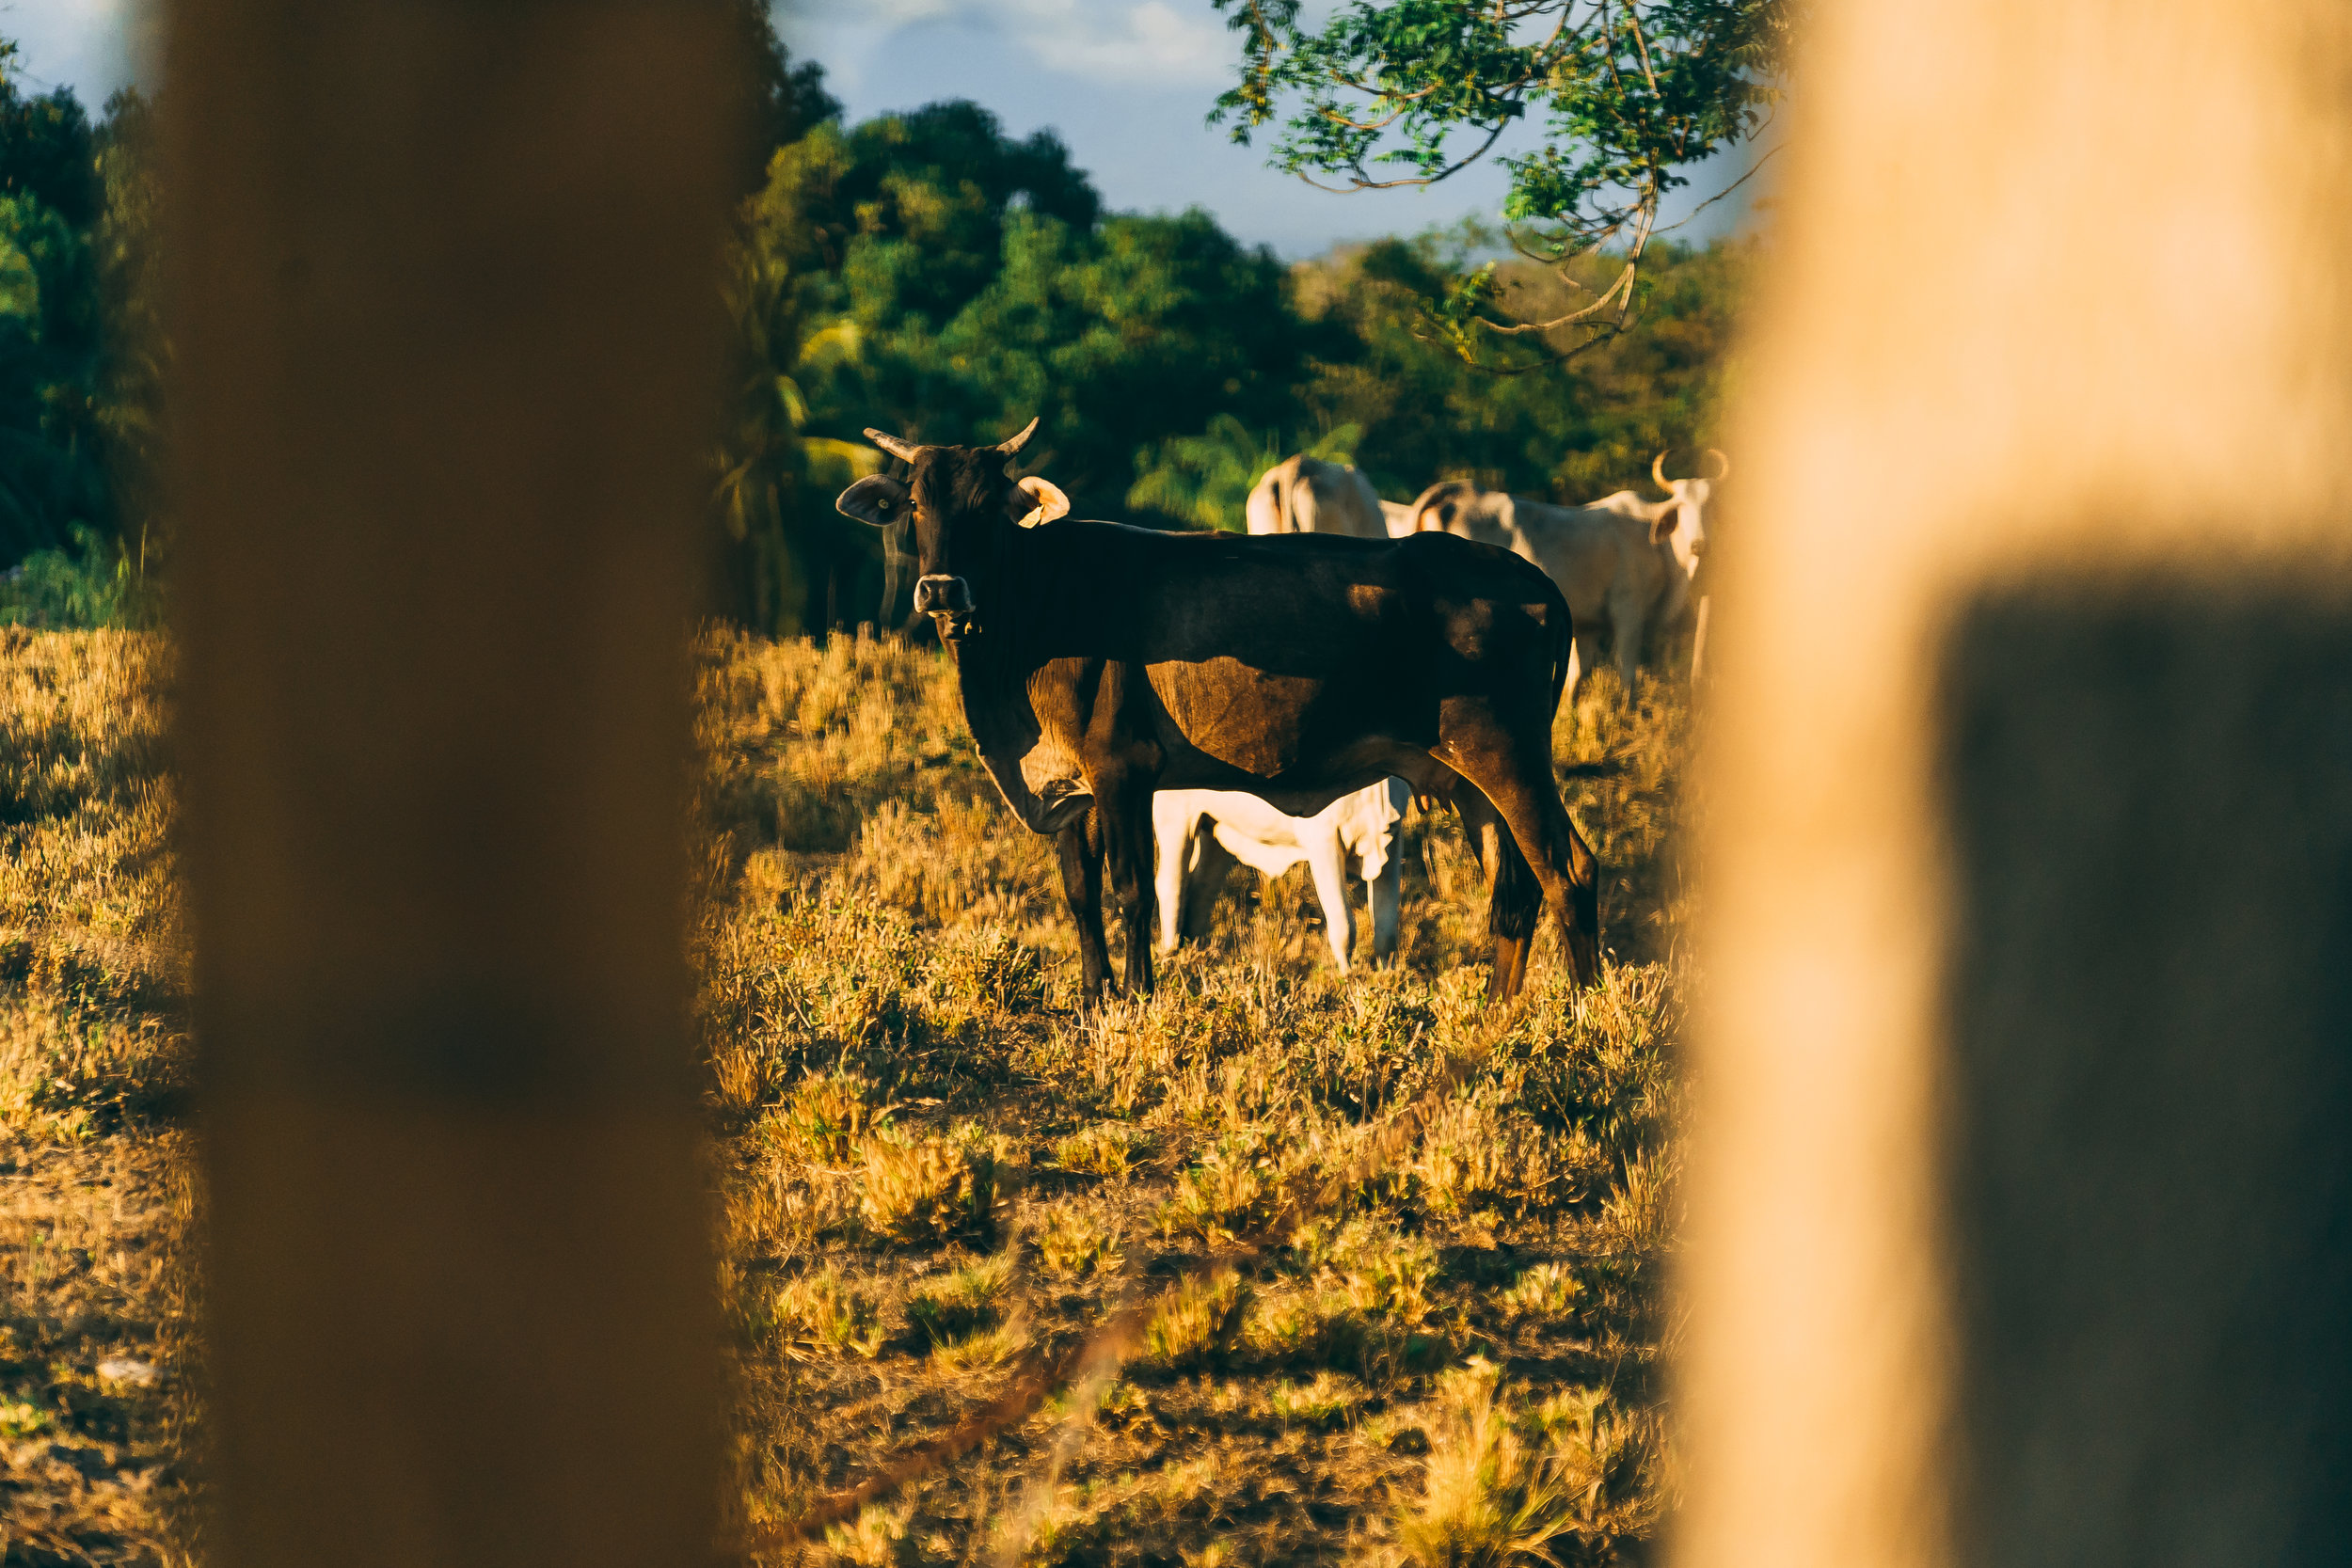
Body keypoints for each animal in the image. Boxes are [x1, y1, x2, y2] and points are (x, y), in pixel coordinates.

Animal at [1148, 780, 1402, 973]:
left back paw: (1200, 953)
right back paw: (1170, 955)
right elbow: (1344, 922)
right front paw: (1347, 975)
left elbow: (1387, 929)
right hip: (1175, 818)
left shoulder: (1390, 840)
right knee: (1172, 884)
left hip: (1215, 828)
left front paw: (1387, 974)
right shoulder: (1324, 839)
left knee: (1203, 888)